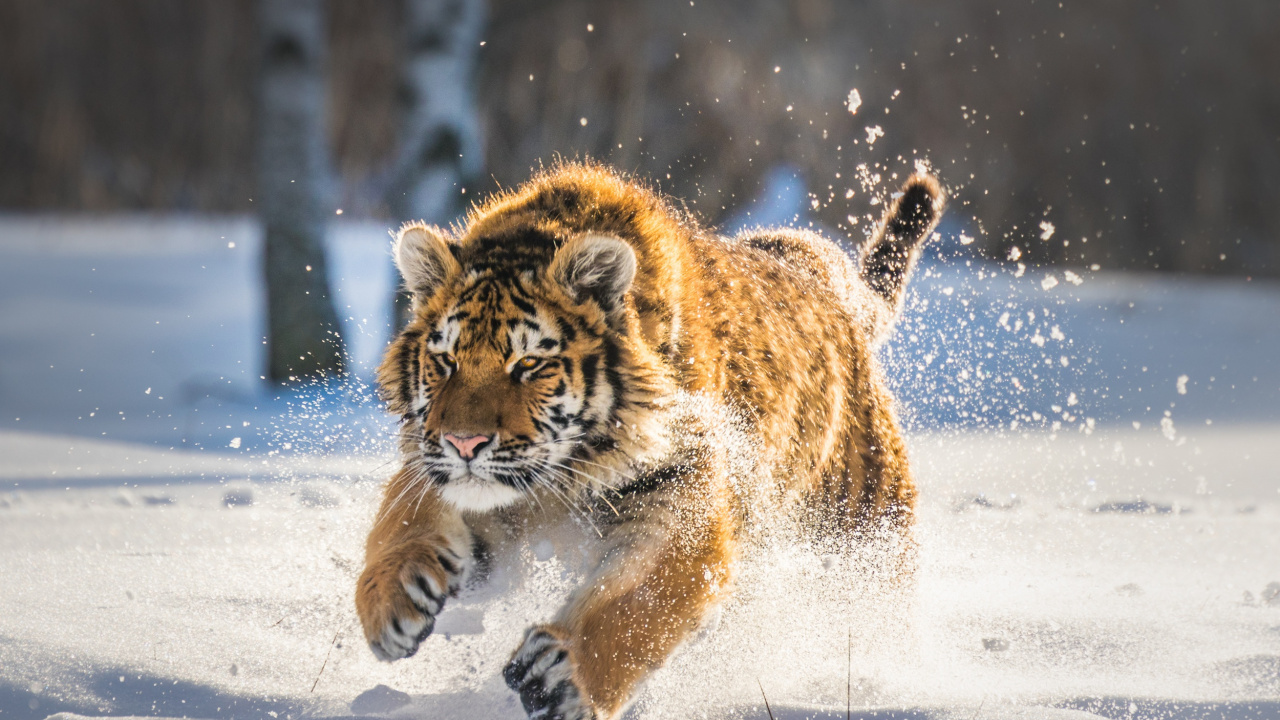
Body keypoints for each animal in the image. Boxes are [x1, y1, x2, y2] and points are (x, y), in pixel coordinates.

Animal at [355, 161, 944, 719]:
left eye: (528, 364)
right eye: (445, 361)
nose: (465, 443)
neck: (561, 477)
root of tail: (829, 281)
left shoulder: (683, 504)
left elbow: (636, 606)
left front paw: (563, 678)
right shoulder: (454, 475)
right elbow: (403, 514)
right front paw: (390, 600)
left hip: (865, 533)